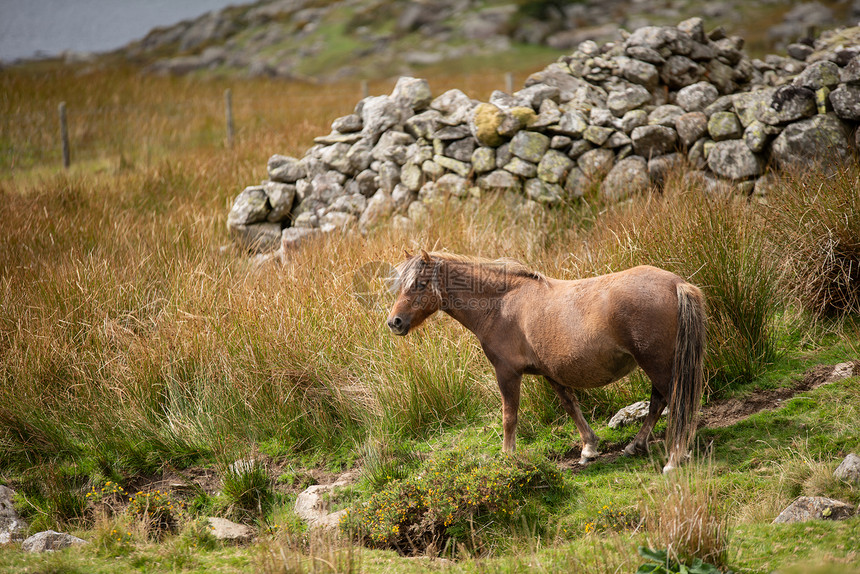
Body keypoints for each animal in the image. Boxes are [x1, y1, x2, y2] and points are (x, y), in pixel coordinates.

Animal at [388, 251, 704, 472]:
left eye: (419, 284)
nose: (394, 322)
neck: (502, 305)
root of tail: (677, 283)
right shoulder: (551, 373)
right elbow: (570, 405)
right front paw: (589, 448)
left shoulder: (507, 373)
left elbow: (509, 416)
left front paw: (507, 457)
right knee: (660, 400)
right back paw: (637, 446)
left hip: (657, 363)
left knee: (674, 399)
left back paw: (674, 457)